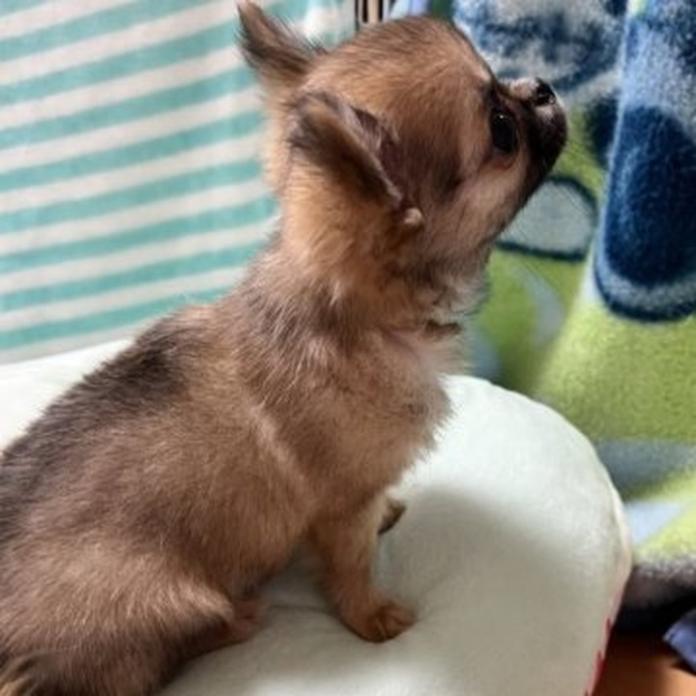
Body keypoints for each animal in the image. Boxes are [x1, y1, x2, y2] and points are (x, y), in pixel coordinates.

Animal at [0, 4, 566, 694]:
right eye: (502, 131)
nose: (542, 87)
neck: (355, 319)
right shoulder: (343, 506)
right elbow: (352, 565)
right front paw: (374, 618)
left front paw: (387, 517)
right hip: (168, 599)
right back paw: (237, 617)